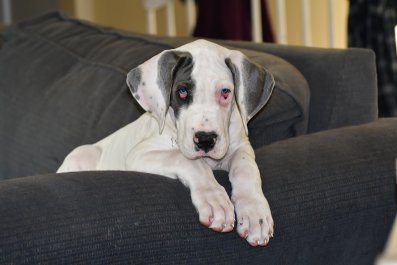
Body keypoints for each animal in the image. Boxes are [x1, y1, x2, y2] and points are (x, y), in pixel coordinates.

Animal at [57, 39, 274, 245]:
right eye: (182, 91)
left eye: (225, 92)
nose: (205, 140)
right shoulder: (138, 154)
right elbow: (187, 161)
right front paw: (214, 199)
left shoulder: (241, 147)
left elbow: (246, 168)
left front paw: (254, 212)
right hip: (82, 153)